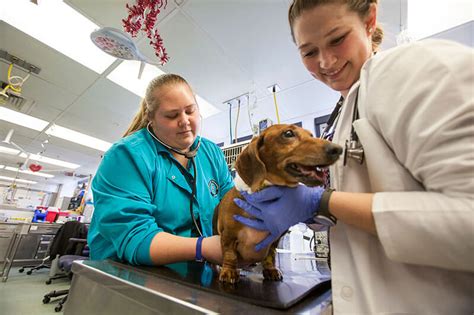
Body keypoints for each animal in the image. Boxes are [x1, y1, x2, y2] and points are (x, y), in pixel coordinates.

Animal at [213, 123, 342, 284]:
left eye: (311, 135)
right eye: (288, 133)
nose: (338, 149)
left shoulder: (275, 239)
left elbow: (270, 255)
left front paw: (270, 269)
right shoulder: (228, 235)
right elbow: (230, 254)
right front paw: (229, 271)